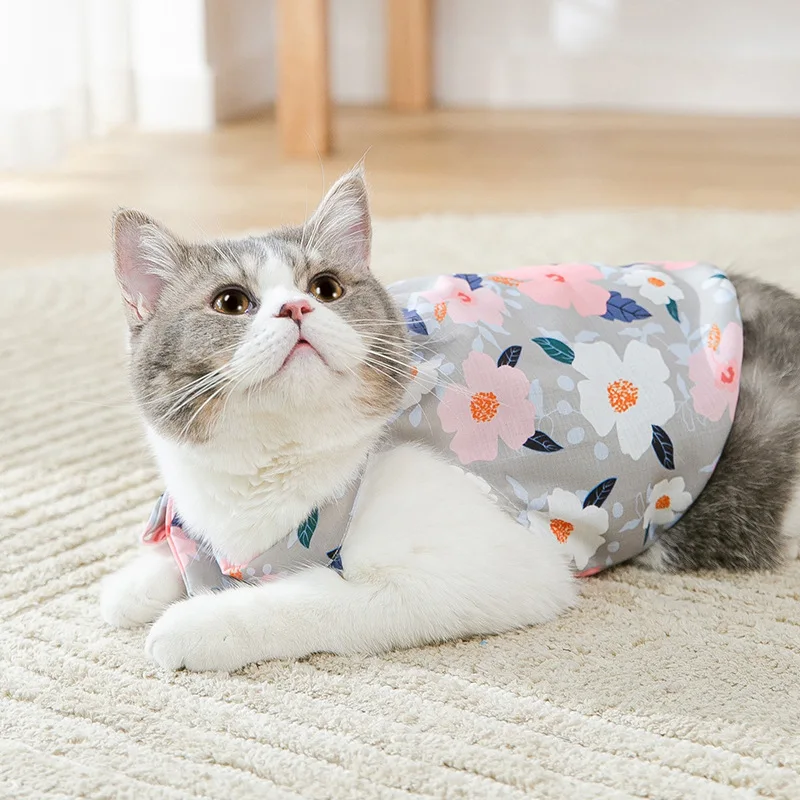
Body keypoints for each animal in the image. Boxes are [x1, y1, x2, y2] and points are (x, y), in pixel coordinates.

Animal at [100, 167, 800, 671]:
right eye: (231, 302)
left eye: (326, 287)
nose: (297, 308)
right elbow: (181, 556)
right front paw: (135, 583)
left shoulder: (497, 569)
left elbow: (315, 596)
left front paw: (198, 623)